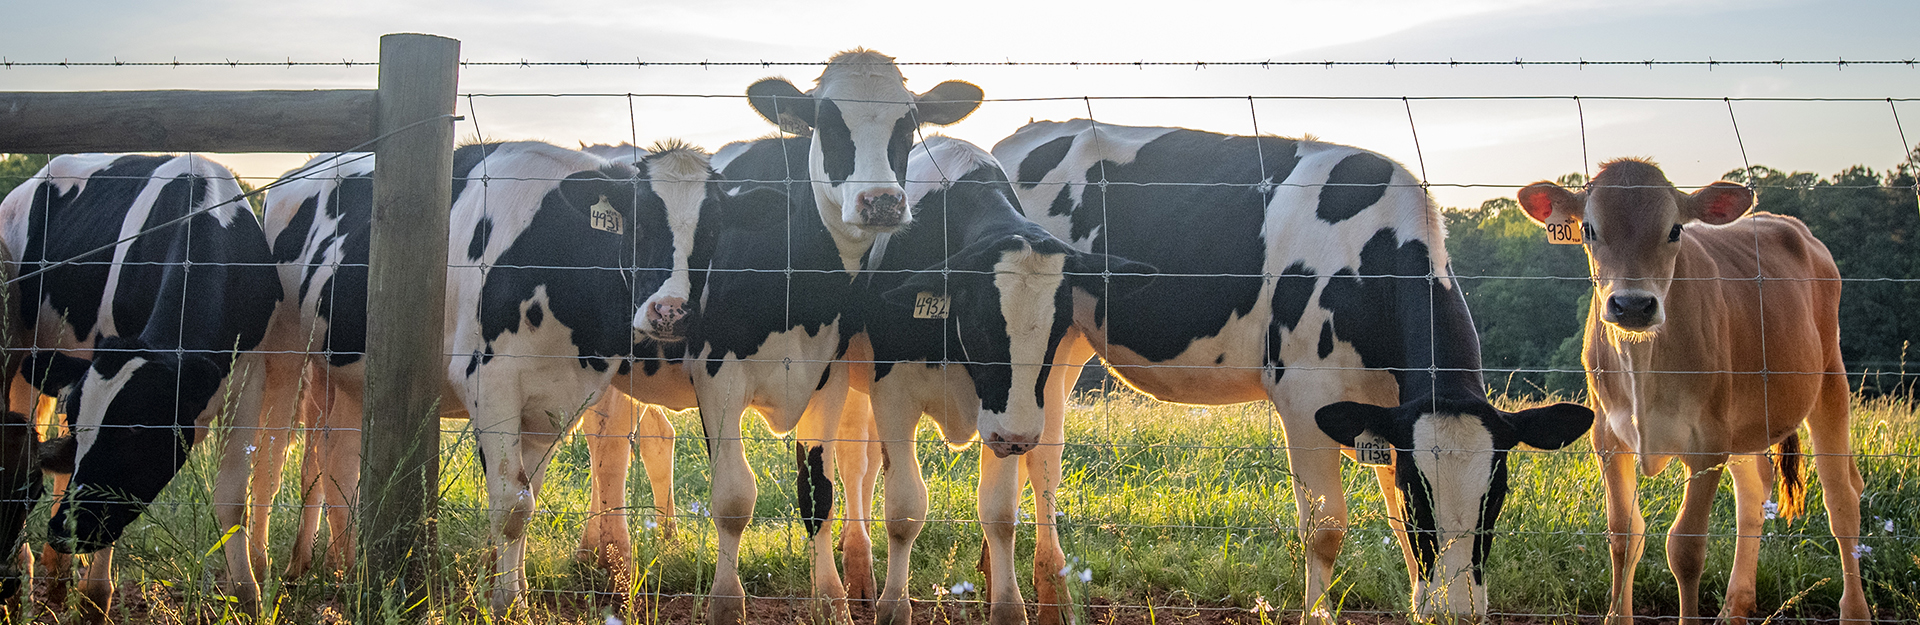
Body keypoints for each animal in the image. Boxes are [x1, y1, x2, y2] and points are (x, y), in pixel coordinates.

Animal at [0, 153, 280, 621]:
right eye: (81, 428)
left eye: (135, 431)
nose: (63, 531)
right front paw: (94, 598)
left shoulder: (250, 378)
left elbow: (232, 499)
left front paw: (249, 598)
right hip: (24, 353)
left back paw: (57, 575)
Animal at [256, 140, 707, 614]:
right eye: (639, 226)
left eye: (712, 234)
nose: (670, 312)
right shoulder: (490, 384)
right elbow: (511, 504)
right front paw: (508, 602)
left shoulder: (558, 402)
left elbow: (528, 496)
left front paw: (515, 589)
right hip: (291, 356)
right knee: (281, 456)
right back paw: (275, 569)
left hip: (348, 373)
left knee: (335, 463)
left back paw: (345, 570)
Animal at [838, 135, 1151, 625]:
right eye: (984, 324)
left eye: (1058, 328)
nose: (1019, 436)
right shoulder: (892, 393)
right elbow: (905, 510)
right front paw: (894, 608)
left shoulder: (1005, 419)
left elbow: (1000, 512)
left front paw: (1007, 607)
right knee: (852, 463)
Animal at [992, 119, 1595, 623]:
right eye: (1420, 495)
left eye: (1497, 498)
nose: (1460, 611)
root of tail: (1023, 134)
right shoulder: (1306, 399)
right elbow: (1327, 530)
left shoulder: (1386, 412)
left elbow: (1393, 526)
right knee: (1029, 463)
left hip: (1068, 342)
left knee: (1042, 454)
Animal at [1517, 159, 1869, 623]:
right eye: (1589, 229)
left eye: (1675, 230)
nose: (1632, 305)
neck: (1643, 362)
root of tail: (1789, 224)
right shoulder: (1608, 439)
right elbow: (1624, 537)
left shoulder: (1708, 442)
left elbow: (1685, 548)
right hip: (1745, 421)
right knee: (1754, 494)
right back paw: (1736, 605)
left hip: (1829, 378)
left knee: (1841, 498)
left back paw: (1855, 609)